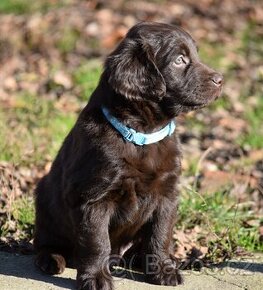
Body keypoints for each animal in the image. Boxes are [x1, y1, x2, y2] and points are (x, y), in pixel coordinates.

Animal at [34, 21, 224, 290]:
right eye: (179, 60)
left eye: (195, 55)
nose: (220, 80)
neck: (143, 134)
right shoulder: (93, 198)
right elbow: (96, 242)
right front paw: (96, 278)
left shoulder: (167, 195)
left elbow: (160, 235)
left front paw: (163, 269)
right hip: (44, 200)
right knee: (45, 242)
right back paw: (51, 259)